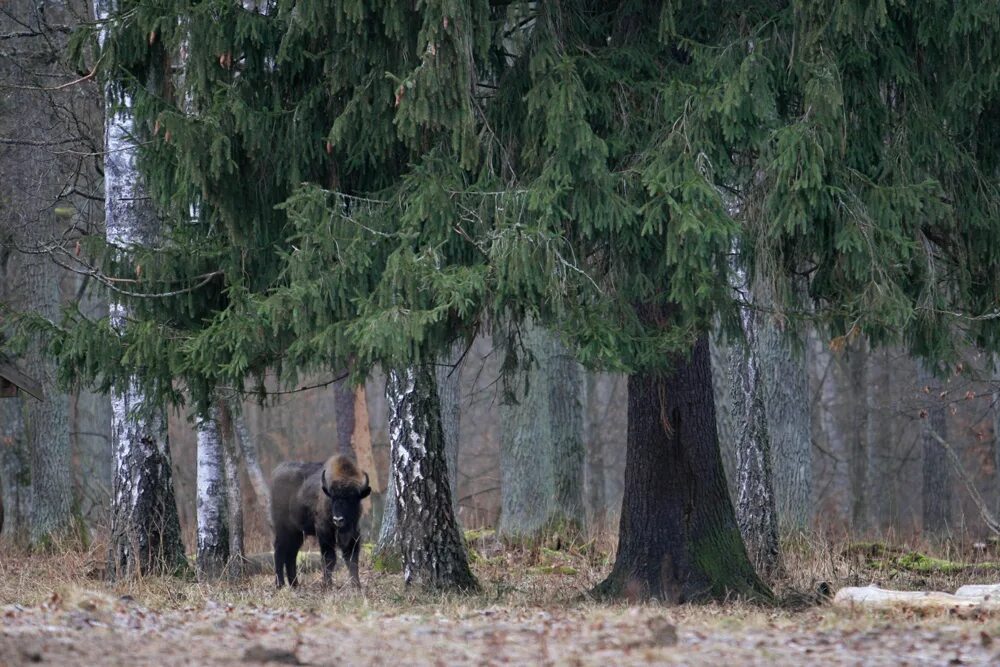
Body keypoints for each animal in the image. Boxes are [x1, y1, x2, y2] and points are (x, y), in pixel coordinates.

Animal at [270, 454, 372, 588]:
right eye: (333, 497)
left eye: (352, 498)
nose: (338, 519)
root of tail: (275, 473)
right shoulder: (324, 531)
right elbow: (329, 558)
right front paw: (327, 585)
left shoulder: (354, 533)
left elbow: (352, 559)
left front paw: (356, 585)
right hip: (283, 529)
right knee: (279, 551)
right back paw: (280, 585)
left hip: (297, 533)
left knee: (291, 554)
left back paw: (295, 585)